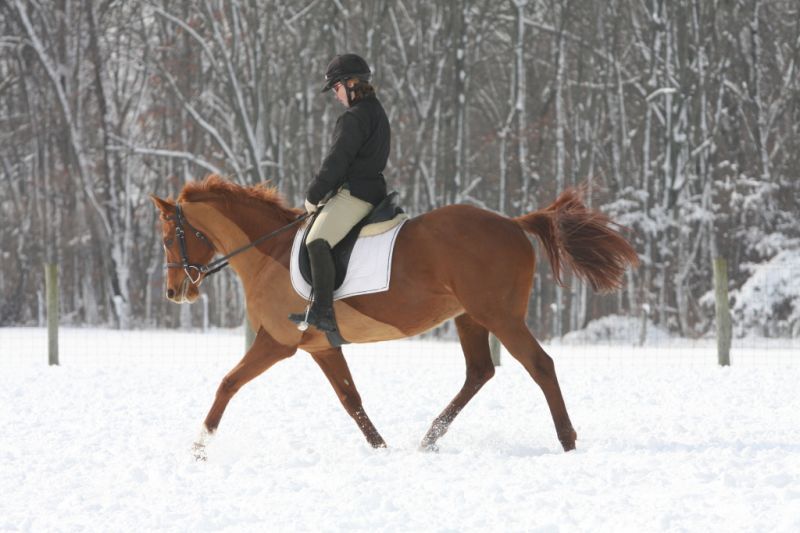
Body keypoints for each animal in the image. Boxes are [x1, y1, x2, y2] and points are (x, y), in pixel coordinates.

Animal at [151, 175, 638, 459]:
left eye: (168, 238)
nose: (175, 293)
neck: (267, 250)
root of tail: (514, 223)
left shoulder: (277, 342)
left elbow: (228, 383)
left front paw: (199, 446)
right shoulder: (321, 346)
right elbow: (351, 399)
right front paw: (381, 448)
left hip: (499, 316)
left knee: (540, 365)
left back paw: (567, 441)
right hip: (470, 317)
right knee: (479, 372)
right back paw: (429, 438)